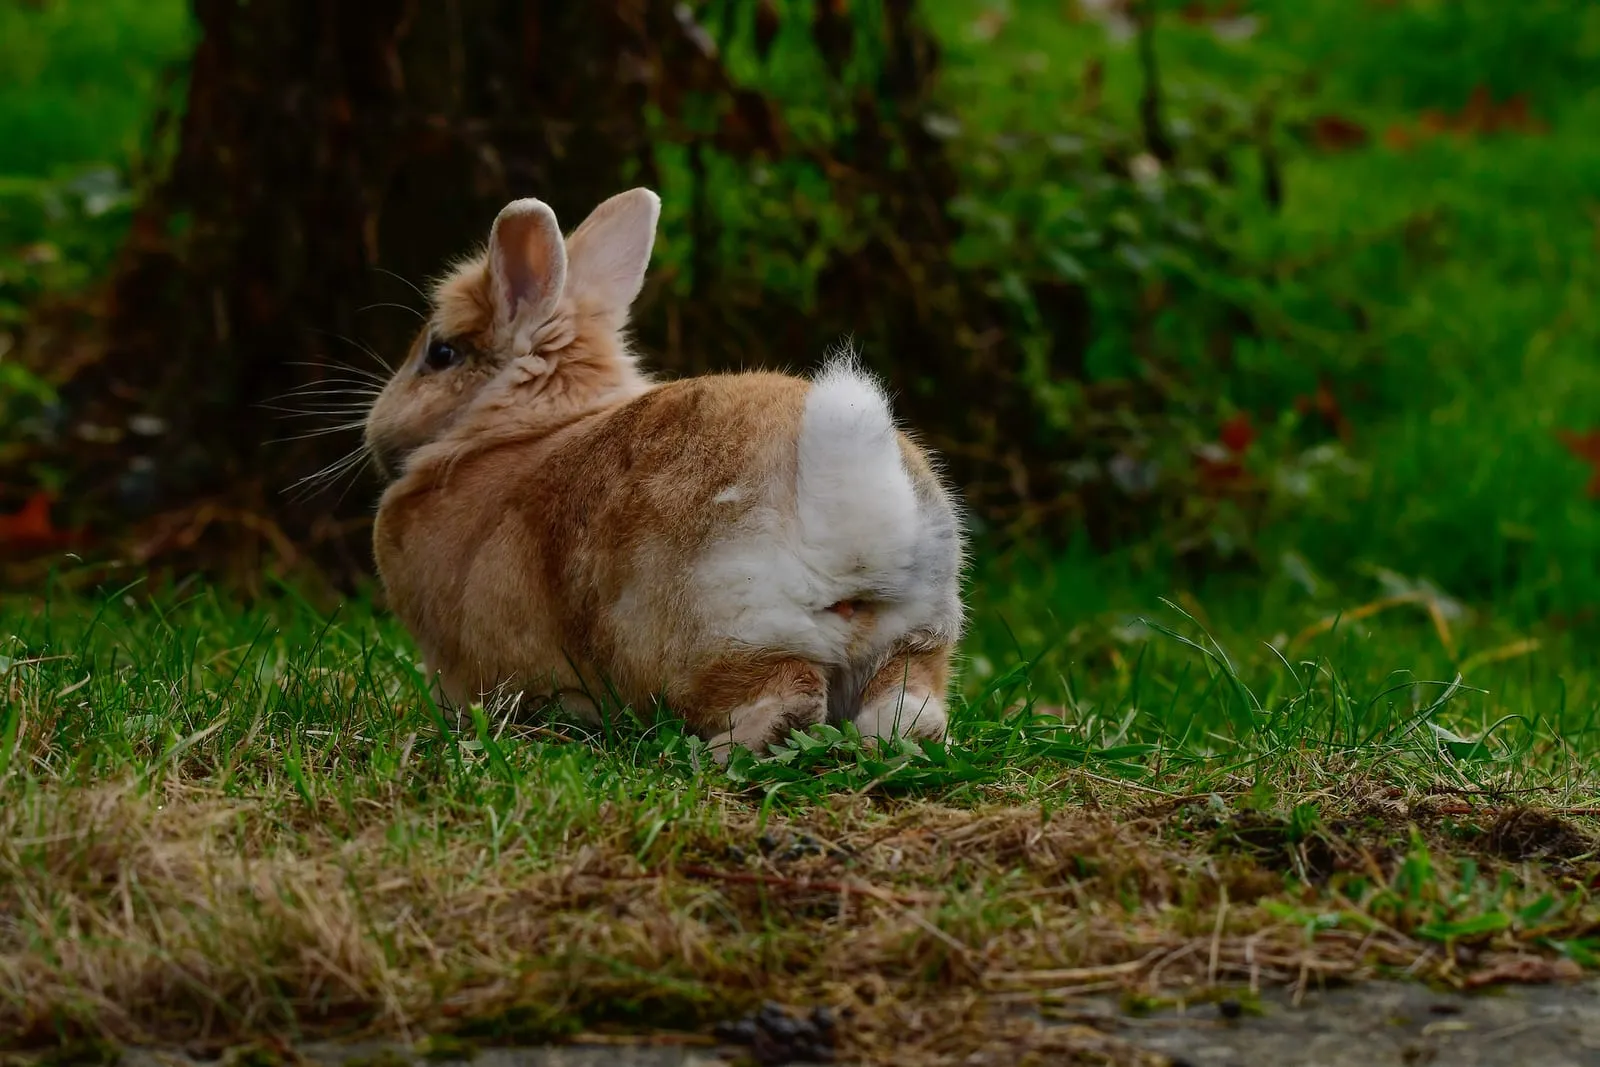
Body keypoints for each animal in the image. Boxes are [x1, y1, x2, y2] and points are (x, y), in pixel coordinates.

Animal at [364, 188, 964, 758]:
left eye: (441, 354)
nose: (377, 427)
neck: (513, 429)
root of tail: (848, 503)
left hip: (721, 636)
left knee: (786, 698)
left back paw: (719, 752)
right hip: (912, 637)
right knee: (907, 705)